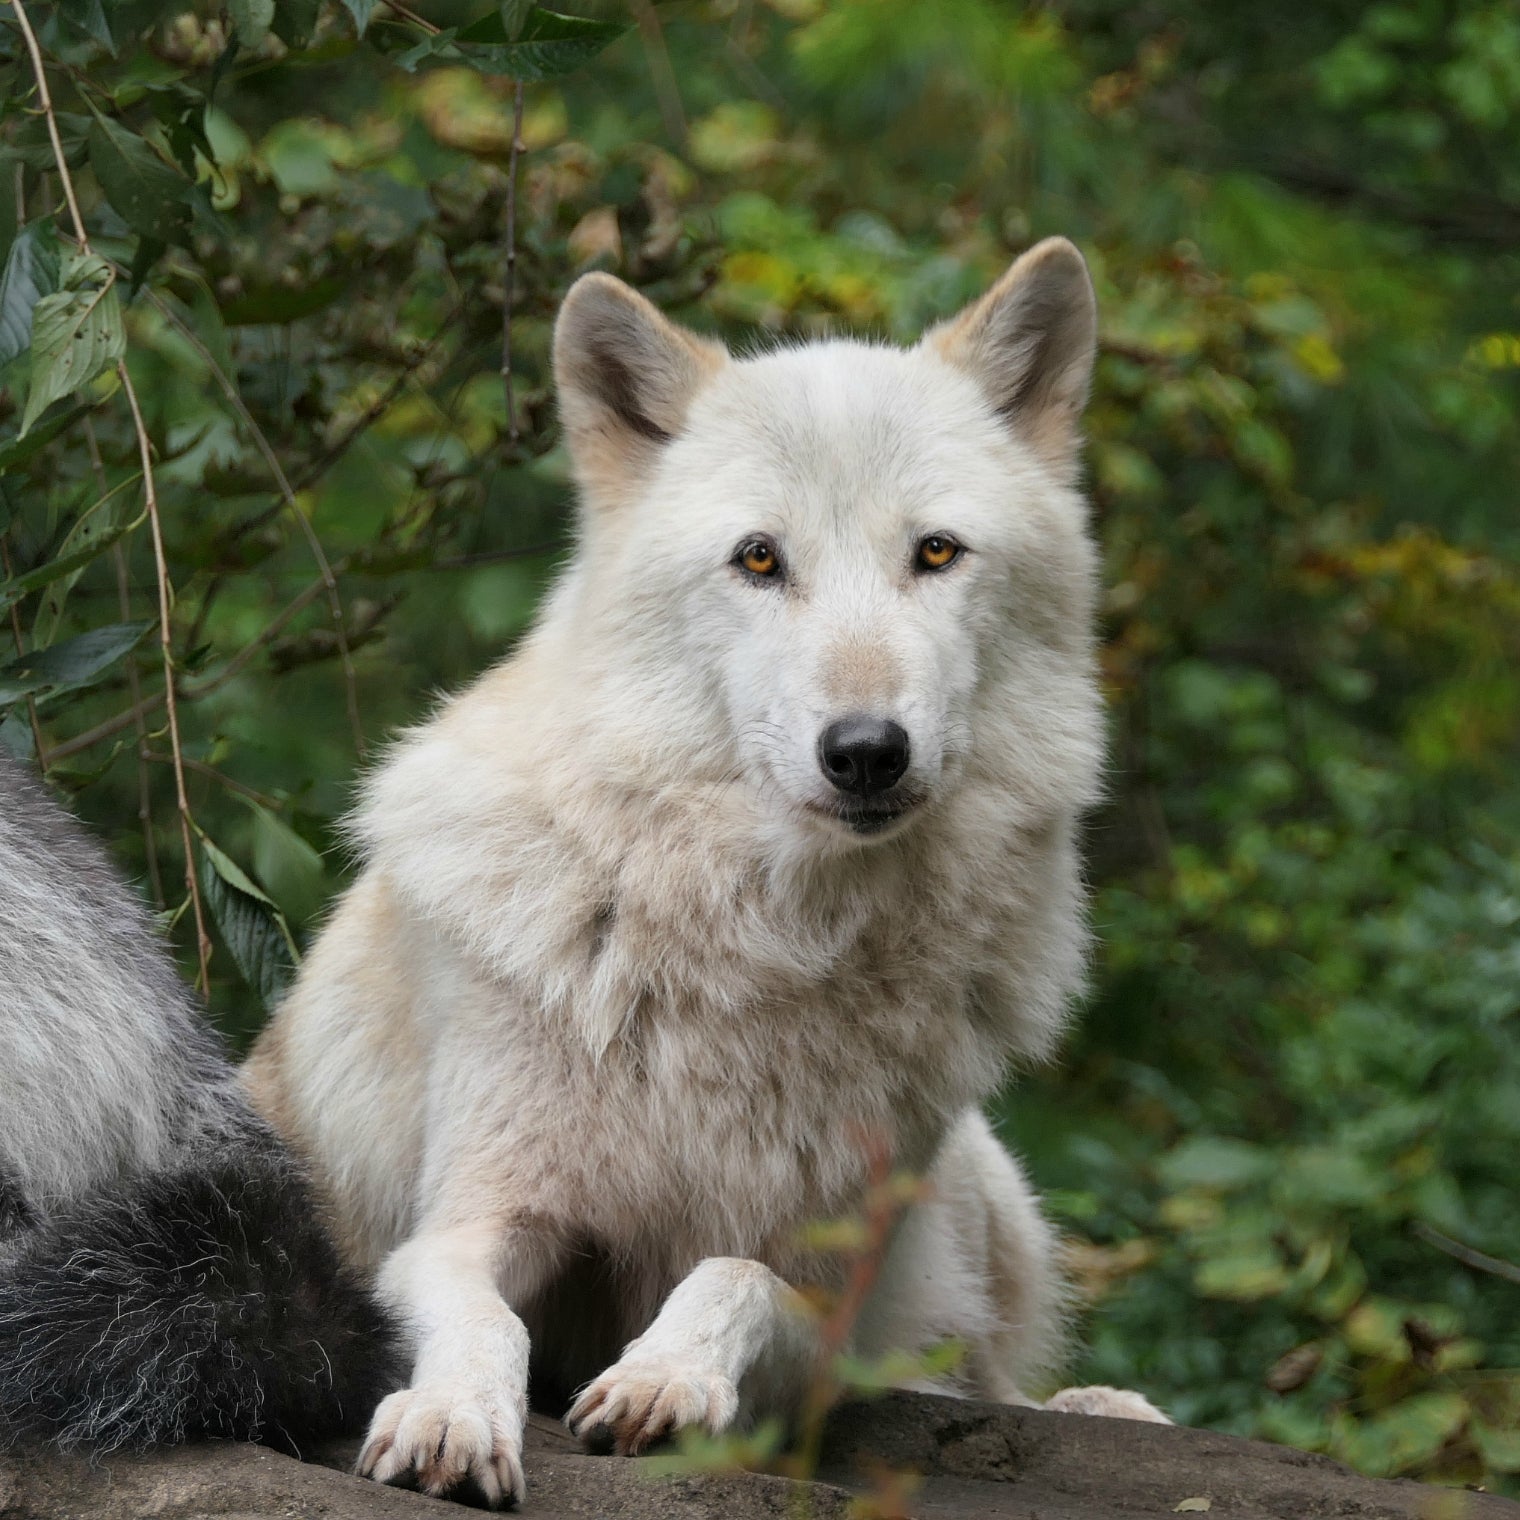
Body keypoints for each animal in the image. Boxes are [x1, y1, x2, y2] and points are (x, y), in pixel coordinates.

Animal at [243, 235, 1169, 1509]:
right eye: (758, 558)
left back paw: (1105, 1405)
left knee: (981, 1380)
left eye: (934, 552)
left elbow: (735, 1271)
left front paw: (663, 1379)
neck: (757, 948)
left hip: (978, 1195)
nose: (866, 749)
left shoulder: (825, 1308)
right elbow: (484, 1317)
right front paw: (448, 1417)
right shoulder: (462, 1221)